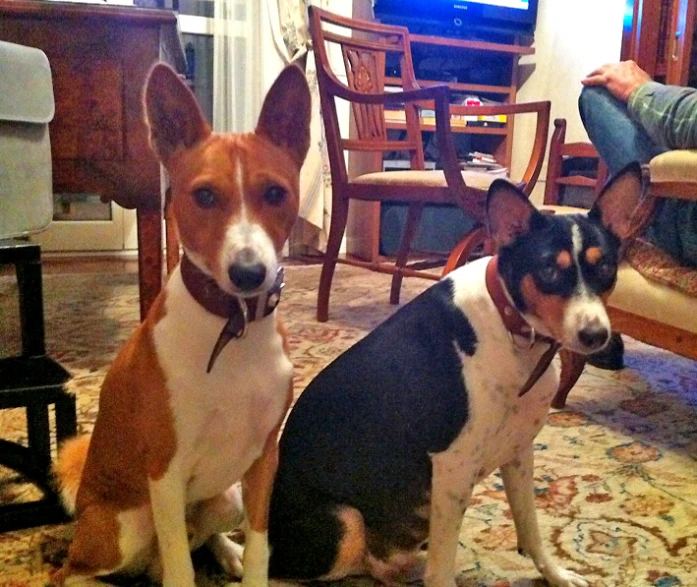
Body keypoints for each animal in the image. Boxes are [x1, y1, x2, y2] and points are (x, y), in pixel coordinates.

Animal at [50, 63, 308, 587]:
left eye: (275, 193)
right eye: (204, 195)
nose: (249, 273)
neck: (233, 329)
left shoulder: (263, 461)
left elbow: (260, 549)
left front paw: (245, 560)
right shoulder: (165, 472)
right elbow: (180, 569)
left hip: (227, 497)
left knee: (199, 538)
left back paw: (225, 552)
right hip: (127, 525)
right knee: (75, 570)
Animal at [266, 163, 640, 584]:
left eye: (605, 266)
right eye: (548, 269)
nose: (596, 336)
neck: (513, 331)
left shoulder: (518, 452)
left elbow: (530, 528)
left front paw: (555, 574)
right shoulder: (452, 469)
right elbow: (442, 568)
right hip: (345, 524)